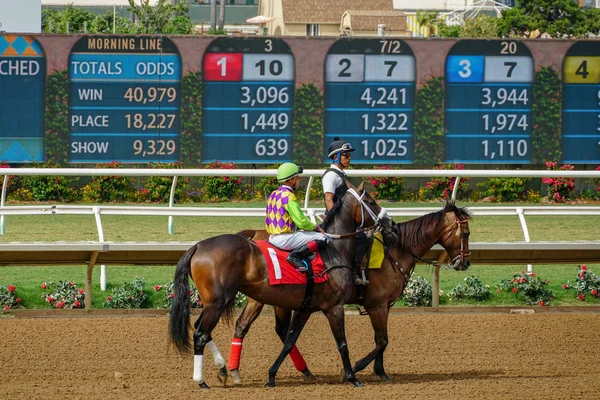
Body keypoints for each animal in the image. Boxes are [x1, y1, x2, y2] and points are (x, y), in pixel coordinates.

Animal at [169, 181, 386, 388]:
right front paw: (352, 378)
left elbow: (289, 340)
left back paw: (223, 369)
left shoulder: (305, 307)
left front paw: (273, 375)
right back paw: (201, 380)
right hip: (217, 302)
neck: (333, 251)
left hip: (214, 302)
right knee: (200, 334)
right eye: (372, 201)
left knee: (203, 330)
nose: (387, 220)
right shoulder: (334, 307)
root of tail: (198, 246)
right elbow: (342, 343)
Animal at [227, 202, 472, 382]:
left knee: (250, 326)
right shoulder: (377, 305)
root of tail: (255, 234)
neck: (396, 250)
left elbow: (380, 339)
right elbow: (382, 340)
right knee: (268, 328)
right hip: (267, 298)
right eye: (465, 233)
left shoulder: (382, 306)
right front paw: (356, 368)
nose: (465, 263)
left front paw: (380, 371)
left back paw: (236, 371)